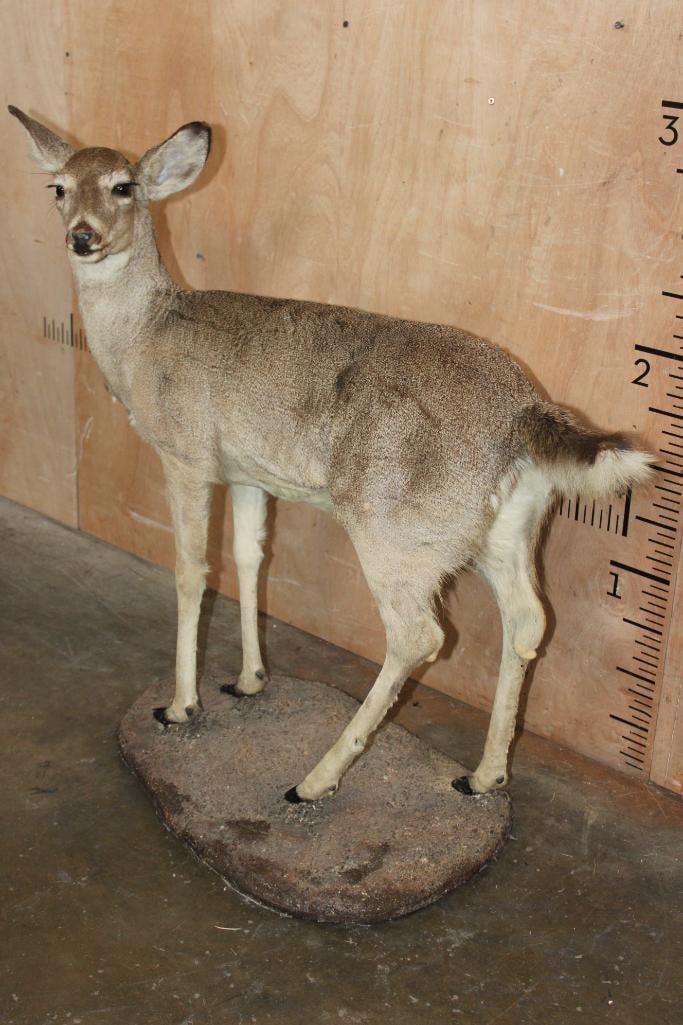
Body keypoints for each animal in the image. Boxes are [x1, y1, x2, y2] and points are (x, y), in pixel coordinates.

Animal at [9, 105, 652, 805]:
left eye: (123, 186)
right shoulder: (247, 473)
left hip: (395, 530)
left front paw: (182, 705)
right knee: (529, 620)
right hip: (503, 531)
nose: (82, 236)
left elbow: (191, 570)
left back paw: (314, 780)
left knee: (419, 636)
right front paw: (249, 679)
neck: (141, 341)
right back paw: (483, 775)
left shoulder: (185, 453)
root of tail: (525, 414)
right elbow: (249, 558)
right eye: (58, 187)